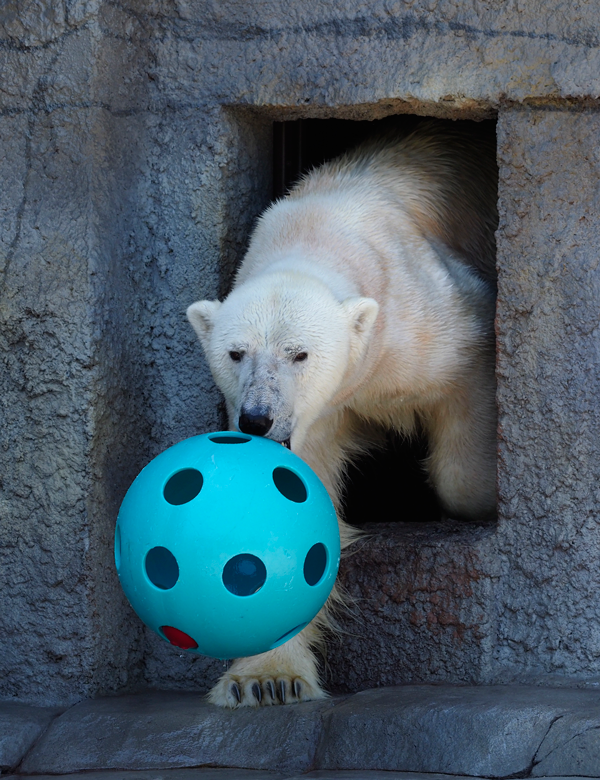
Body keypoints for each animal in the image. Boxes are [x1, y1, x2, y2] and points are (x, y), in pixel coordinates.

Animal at [188, 120, 496, 708]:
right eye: (236, 353)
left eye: (300, 354)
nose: (256, 419)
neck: (316, 232)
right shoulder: (309, 420)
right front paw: (266, 679)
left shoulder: (433, 317)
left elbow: (464, 411)